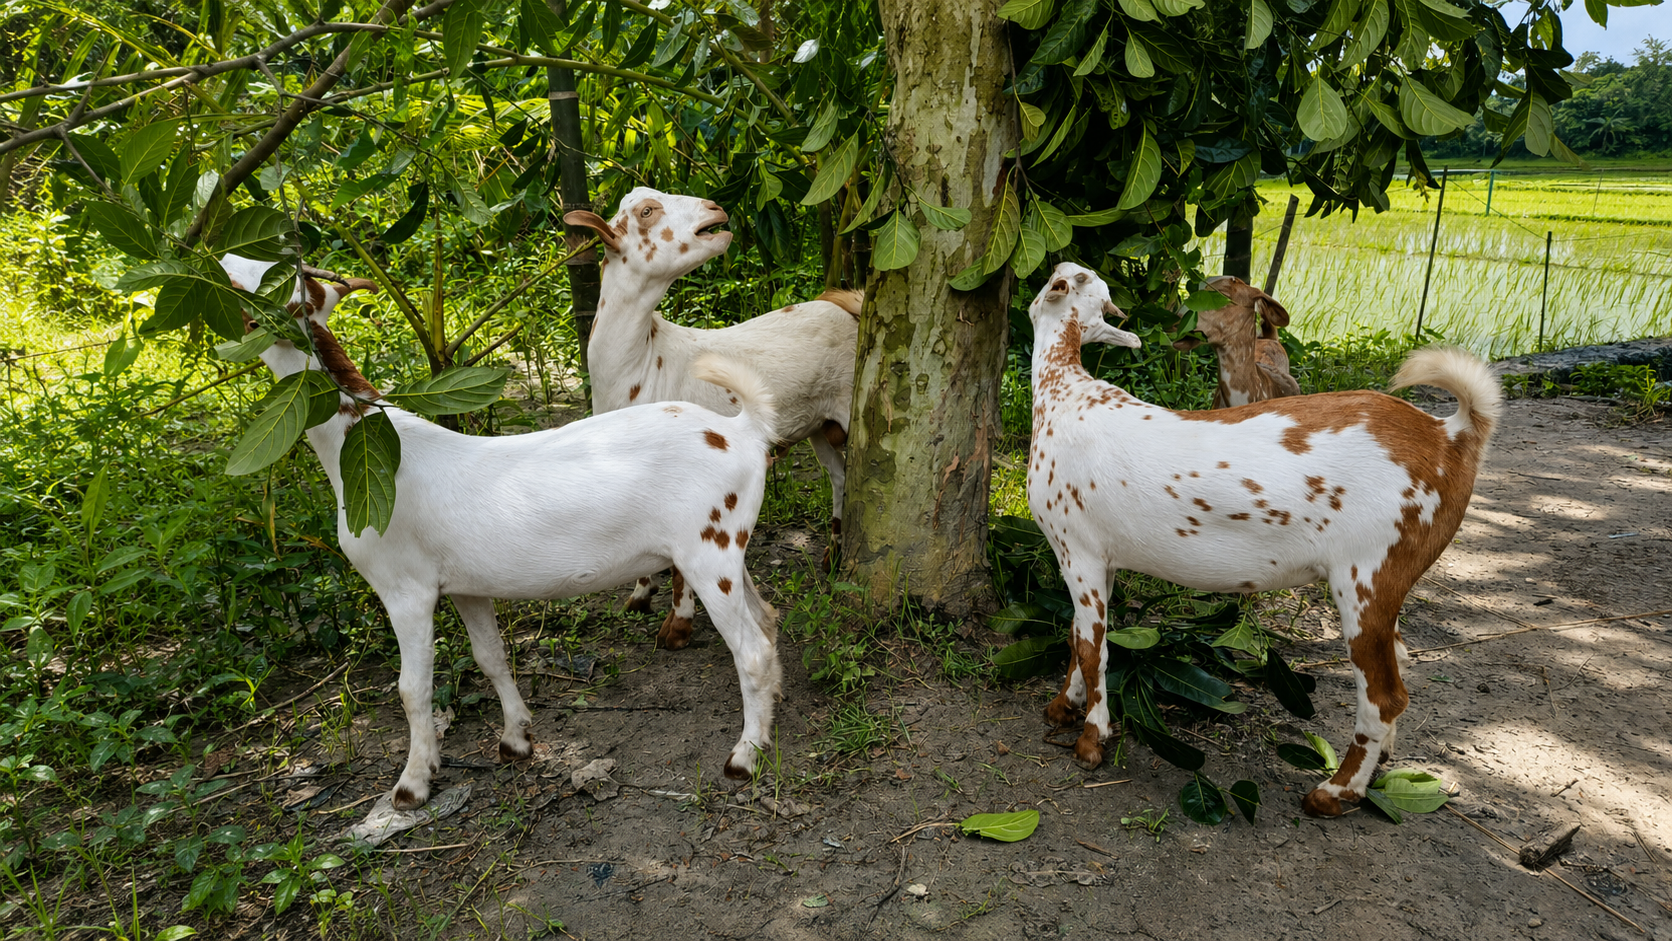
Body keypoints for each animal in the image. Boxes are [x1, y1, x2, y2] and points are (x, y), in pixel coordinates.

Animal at [223, 254, 782, 810]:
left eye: (250, 297)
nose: (223, 261)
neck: (367, 448)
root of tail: (742, 431)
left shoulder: (405, 588)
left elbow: (412, 688)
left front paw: (413, 783)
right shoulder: (466, 587)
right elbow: (489, 657)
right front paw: (516, 739)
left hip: (707, 552)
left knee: (751, 651)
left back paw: (745, 757)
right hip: (725, 550)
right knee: (767, 619)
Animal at [564, 189, 859, 634]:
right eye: (646, 211)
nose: (715, 208)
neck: (644, 364)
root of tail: (849, 308)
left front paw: (678, 624)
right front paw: (640, 593)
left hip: (850, 403)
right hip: (818, 425)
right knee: (839, 475)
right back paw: (834, 554)